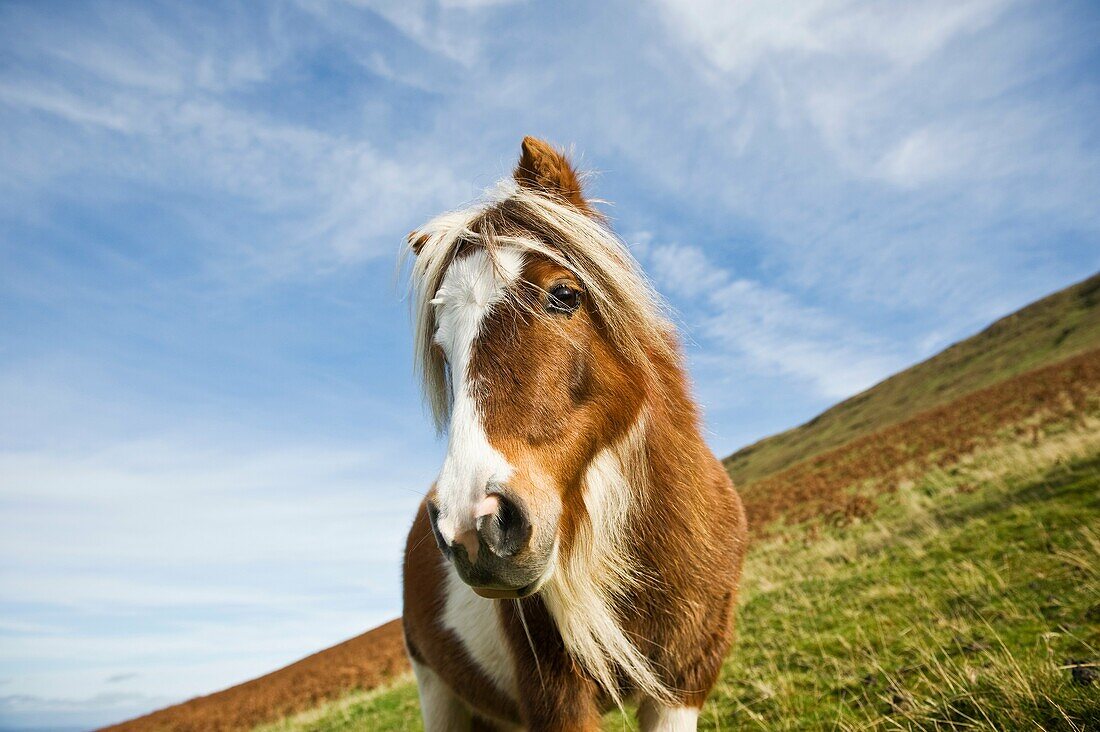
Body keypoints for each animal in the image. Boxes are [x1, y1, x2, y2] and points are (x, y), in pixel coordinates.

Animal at [398, 138, 748, 730]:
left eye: (563, 294)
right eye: (443, 345)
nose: (472, 525)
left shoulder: (683, 683)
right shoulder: (557, 700)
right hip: (439, 694)